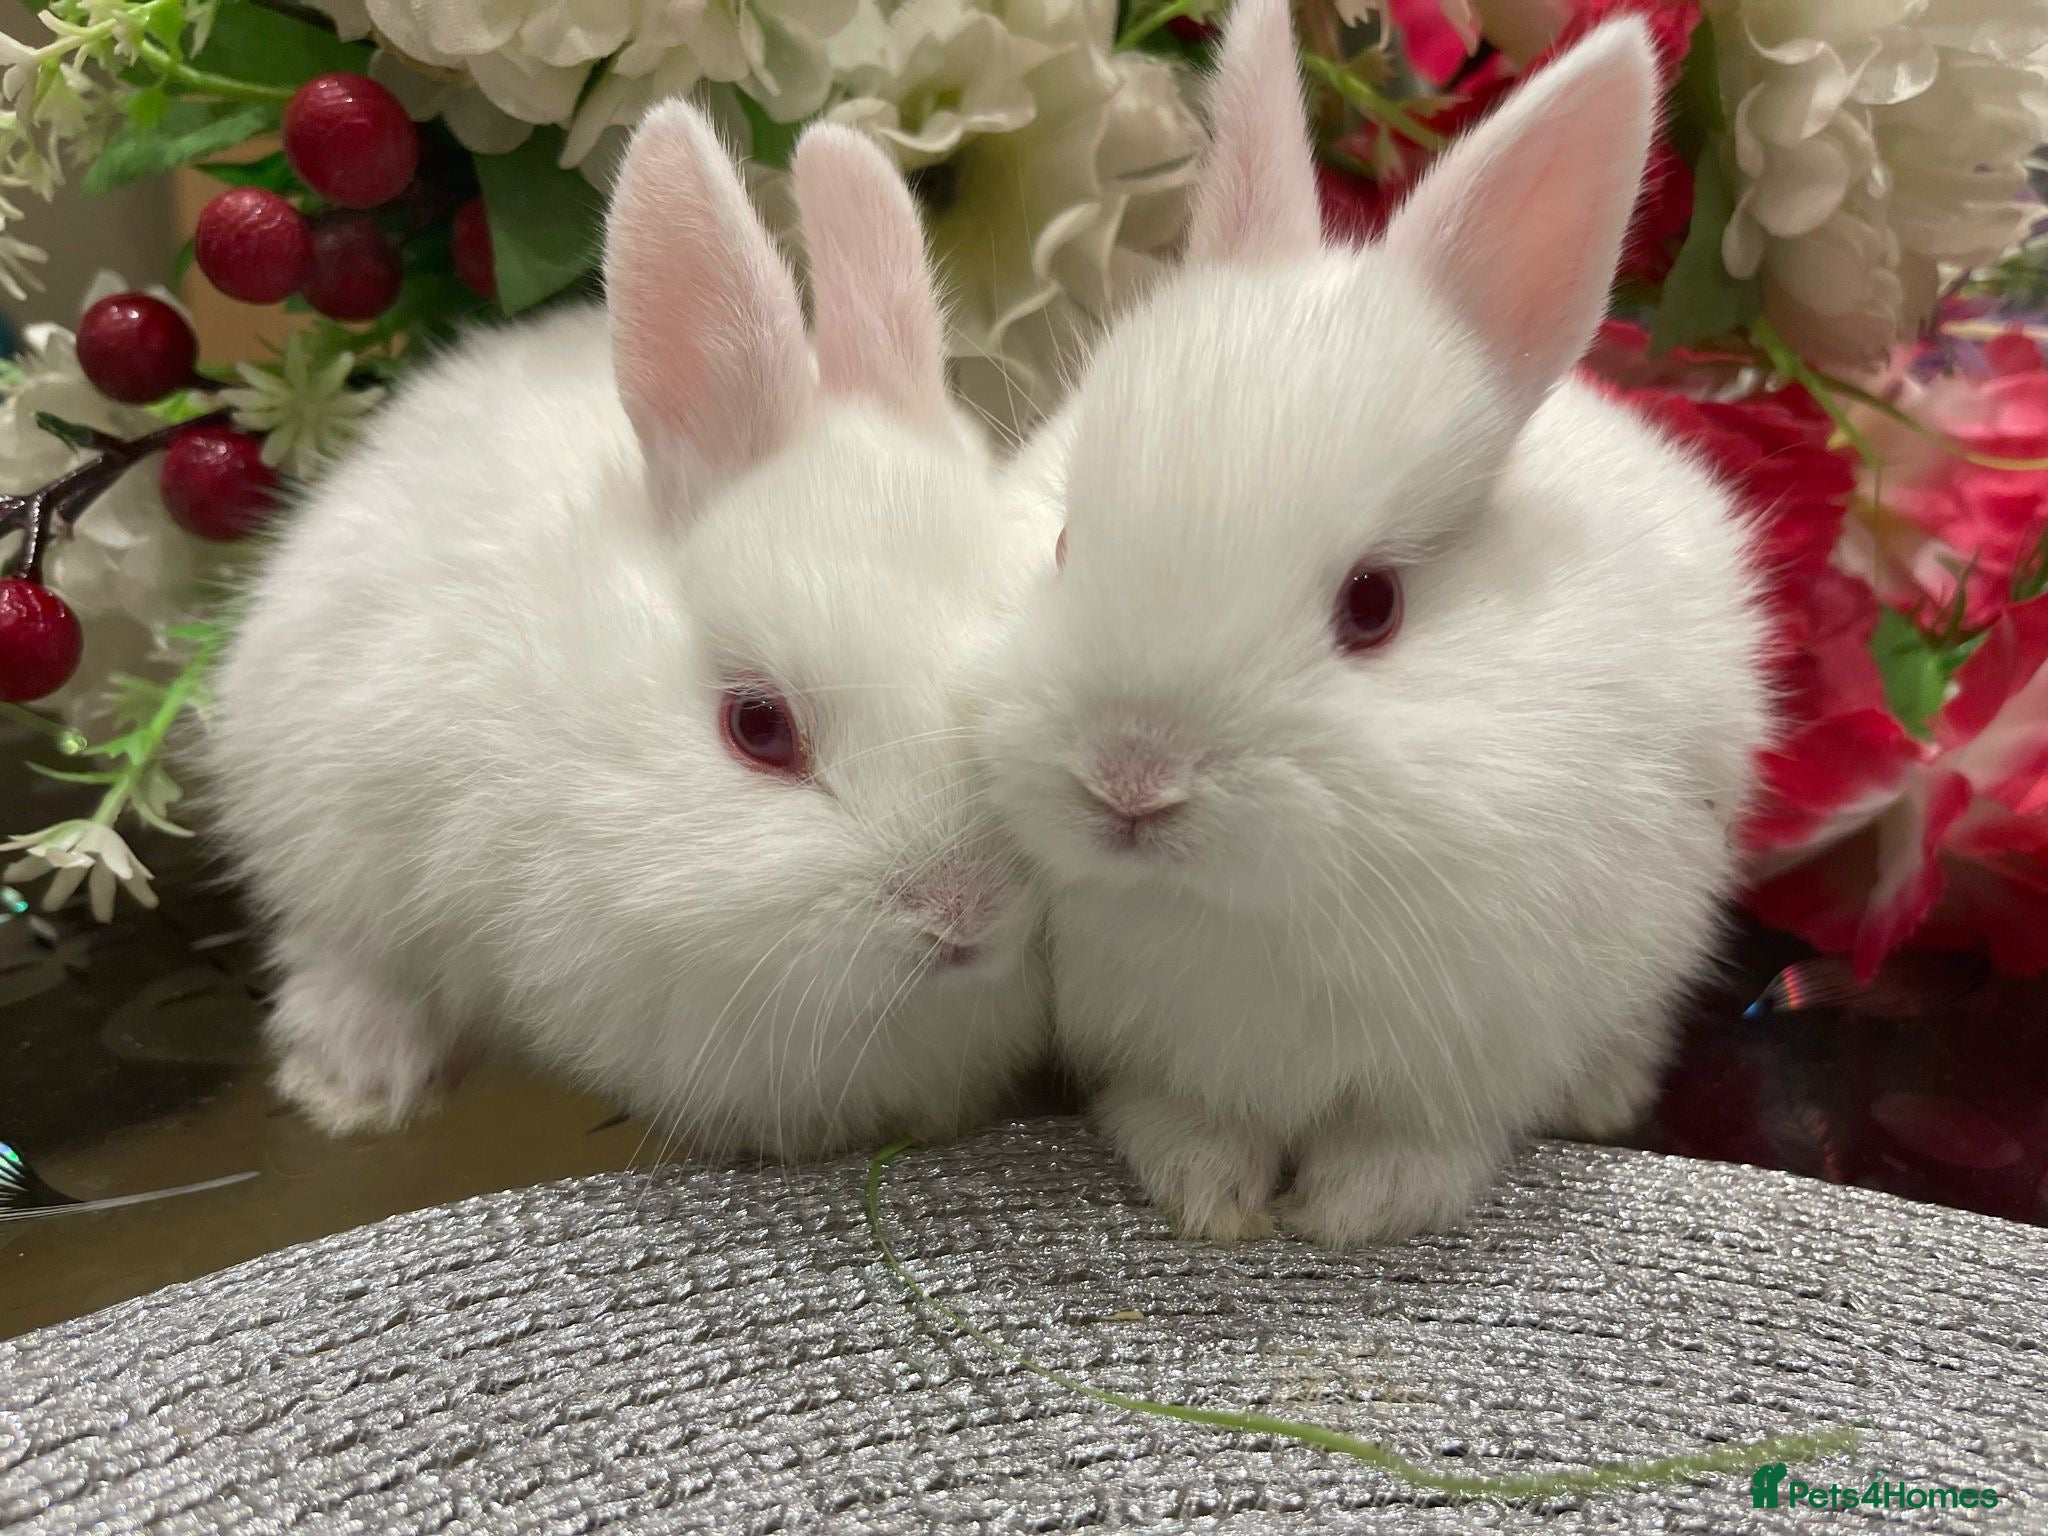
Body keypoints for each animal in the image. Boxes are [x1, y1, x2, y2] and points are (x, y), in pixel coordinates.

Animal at [974, 0, 1769, 1246]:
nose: (1127, 780)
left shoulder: (1479, 1048)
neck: (1235, 912)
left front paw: (1349, 1209)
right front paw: (1207, 1192)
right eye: (1061, 544)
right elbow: (1181, 1115)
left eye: (1372, 606)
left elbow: (1421, 1142)